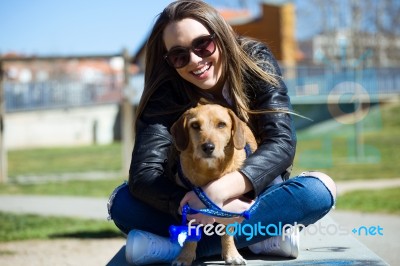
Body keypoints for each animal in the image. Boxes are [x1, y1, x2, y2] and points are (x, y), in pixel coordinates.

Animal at [170, 103, 258, 266]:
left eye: (221, 124)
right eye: (195, 125)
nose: (208, 147)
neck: (209, 171)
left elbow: (227, 231)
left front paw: (232, 255)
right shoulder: (190, 206)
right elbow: (190, 233)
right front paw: (184, 257)